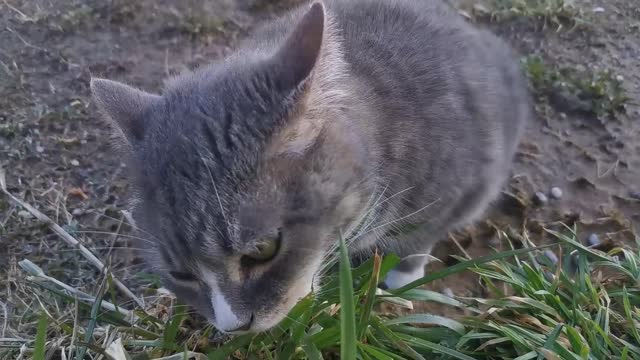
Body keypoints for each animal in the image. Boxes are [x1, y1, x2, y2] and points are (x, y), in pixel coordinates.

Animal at [90, 0, 528, 332]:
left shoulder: (452, 188)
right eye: (181, 274)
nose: (234, 327)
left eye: (263, 250)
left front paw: (400, 278)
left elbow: (418, 238)